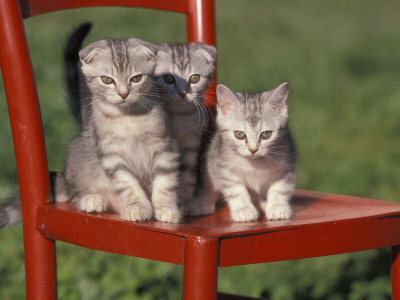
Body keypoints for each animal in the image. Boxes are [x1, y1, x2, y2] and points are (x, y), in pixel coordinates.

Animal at [58, 37, 181, 223]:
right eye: (107, 80)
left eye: (136, 78)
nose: (123, 94)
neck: (127, 118)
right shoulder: (111, 154)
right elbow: (127, 183)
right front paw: (136, 207)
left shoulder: (165, 146)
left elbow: (165, 181)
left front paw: (166, 208)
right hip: (77, 153)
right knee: (73, 194)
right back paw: (92, 199)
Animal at [153, 42, 216, 216]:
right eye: (168, 78)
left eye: (194, 78)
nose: (182, 93)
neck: (181, 116)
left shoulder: (192, 141)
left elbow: (187, 174)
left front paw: (186, 200)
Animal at [197, 81, 296, 220]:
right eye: (239, 134)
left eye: (266, 134)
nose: (253, 149)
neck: (255, 165)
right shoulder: (223, 168)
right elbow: (237, 190)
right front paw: (244, 211)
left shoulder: (288, 164)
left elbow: (280, 188)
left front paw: (278, 208)